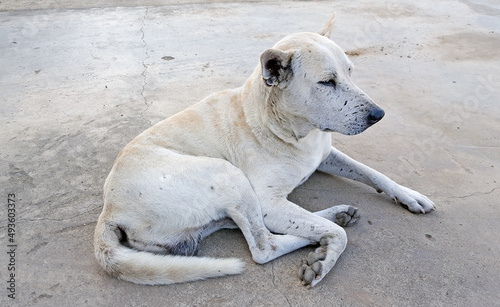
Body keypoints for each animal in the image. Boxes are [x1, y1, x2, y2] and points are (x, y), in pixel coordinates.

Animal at [94, 15, 434, 288]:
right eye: (327, 82)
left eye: (351, 72)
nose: (379, 115)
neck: (290, 129)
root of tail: (109, 212)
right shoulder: (269, 203)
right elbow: (337, 235)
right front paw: (324, 261)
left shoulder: (325, 156)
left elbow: (373, 173)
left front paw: (409, 195)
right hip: (228, 175)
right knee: (264, 246)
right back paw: (325, 229)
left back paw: (336, 214)